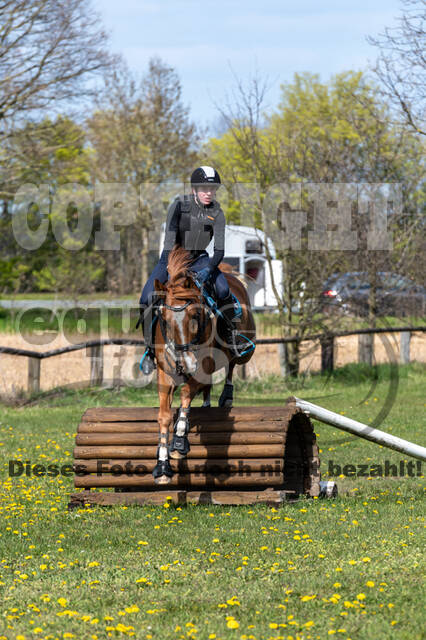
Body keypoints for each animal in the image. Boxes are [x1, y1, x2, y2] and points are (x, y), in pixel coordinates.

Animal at [151, 246, 255, 484]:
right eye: (164, 319)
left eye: (195, 315)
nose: (185, 362)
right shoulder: (164, 372)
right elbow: (164, 415)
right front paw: (162, 466)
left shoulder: (204, 366)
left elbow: (186, 393)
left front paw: (179, 441)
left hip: (243, 351)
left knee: (232, 365)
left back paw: (226, 396)